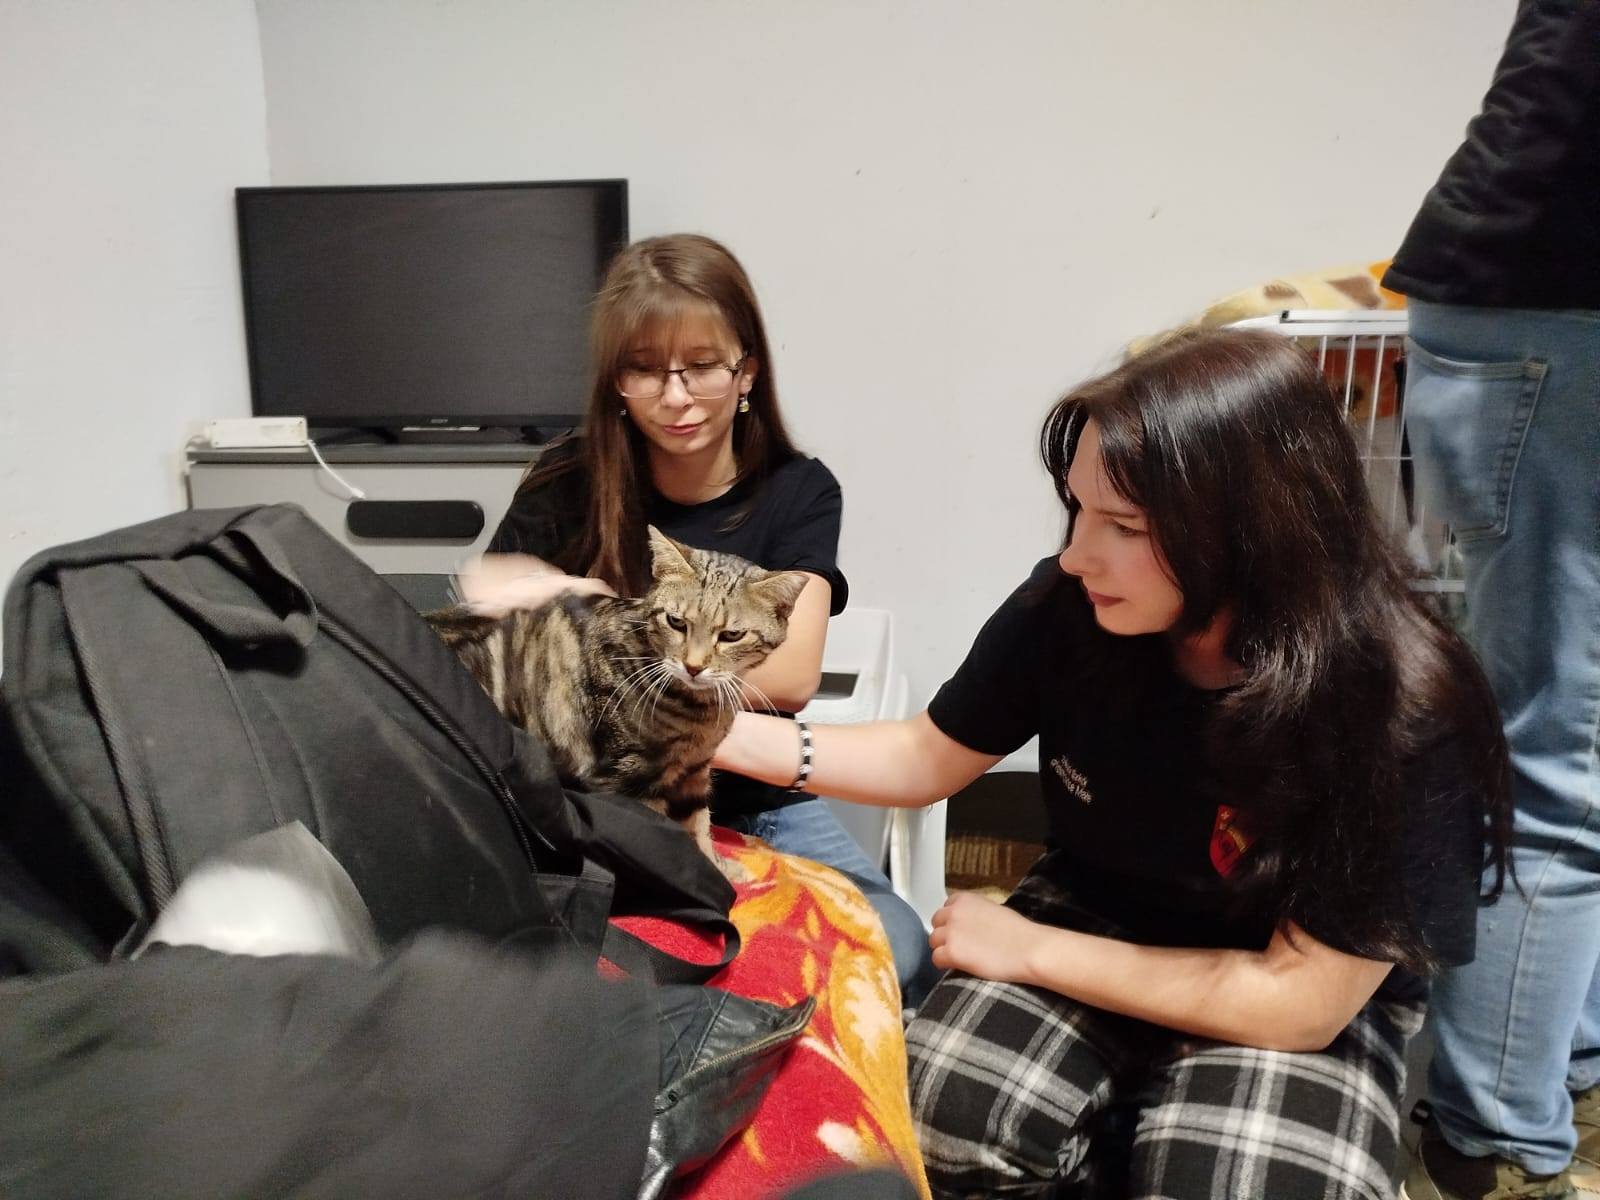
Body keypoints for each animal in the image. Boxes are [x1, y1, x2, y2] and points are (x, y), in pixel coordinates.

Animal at [427, 527, 808, 862]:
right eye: (676, 622)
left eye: (731, 635)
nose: (693, 666)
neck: (696, 711)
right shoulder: (632, 780)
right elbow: (663, 840)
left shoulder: (694, 773)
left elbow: (700, 828)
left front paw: (717, 867)